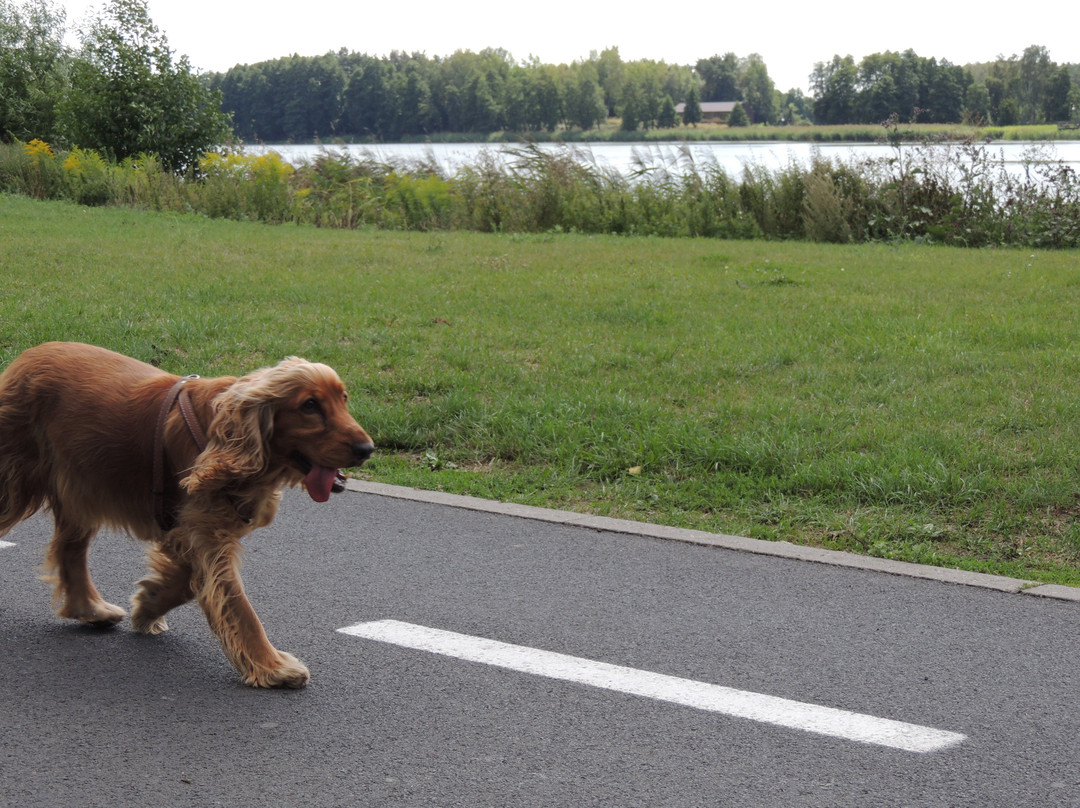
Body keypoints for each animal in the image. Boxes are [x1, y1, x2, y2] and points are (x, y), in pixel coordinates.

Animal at [0, 341, 371, 687]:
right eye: (309, 405)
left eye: (344, 399)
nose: (367, 449)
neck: (221, 437)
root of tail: (26, 356)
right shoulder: (204, 535)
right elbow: (239, 605)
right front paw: (273, 666)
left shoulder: (193, 533)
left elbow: (187, 584)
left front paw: (148, 603)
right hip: (17, 483)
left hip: (81, 487)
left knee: (71, 550)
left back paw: (91, 608)